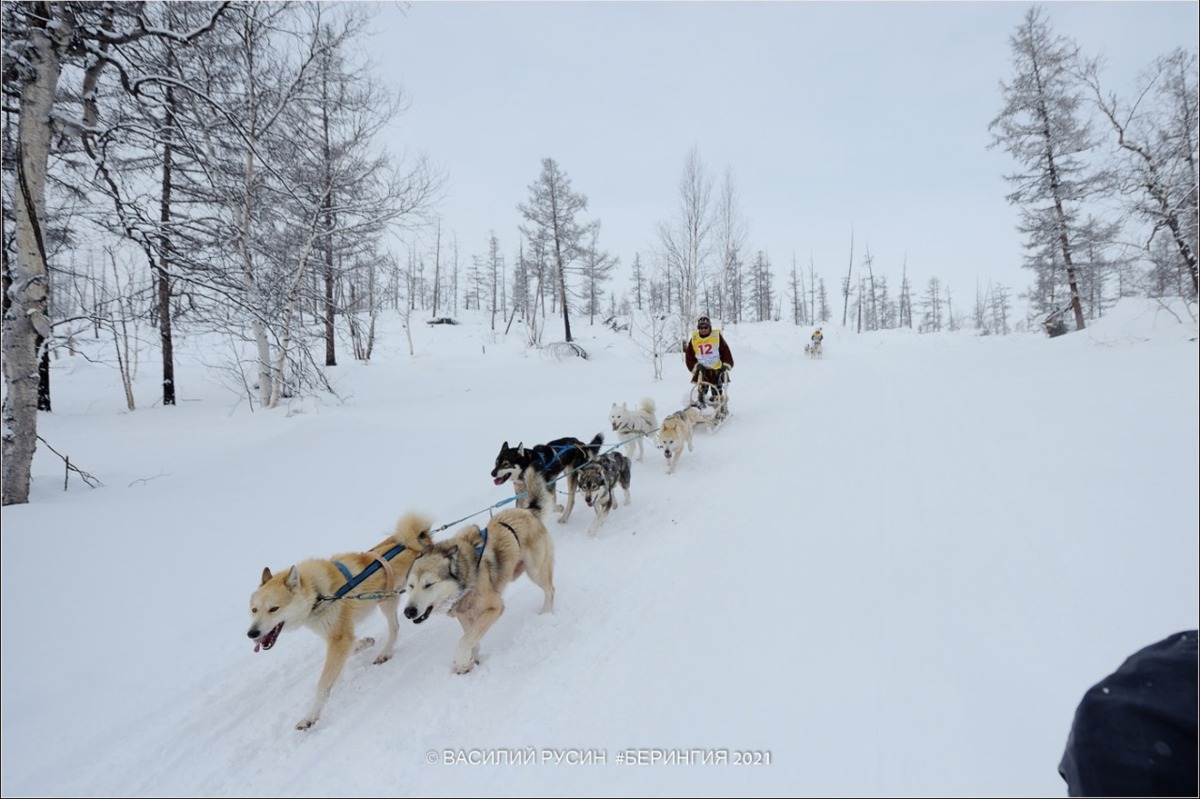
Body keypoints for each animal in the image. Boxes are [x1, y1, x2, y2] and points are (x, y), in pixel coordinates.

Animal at [244, 511, 432, 729]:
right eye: (254, 610)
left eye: (274, 609)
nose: (252, 633)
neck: (318, 594)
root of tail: (415, 541)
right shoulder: (339, 638)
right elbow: (352, 646)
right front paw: (365, 643)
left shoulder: (339, 638)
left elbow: (323, 685)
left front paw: (311, 716)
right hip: (387, 599)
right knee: (396, 627)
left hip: (389, 601)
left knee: (395, 627)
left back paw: (386, 652)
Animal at [400, 463, 554, 667]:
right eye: (410, 586)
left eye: (429, 584)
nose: (408, 612)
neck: (467, 574)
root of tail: (529, 510)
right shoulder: (464, 614)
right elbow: (471, 637)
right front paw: (471, 658)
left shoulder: (494, 608)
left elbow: (465, 639)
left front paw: (460, 660)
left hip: (536, 571)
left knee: (550, 590)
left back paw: (547, 612)